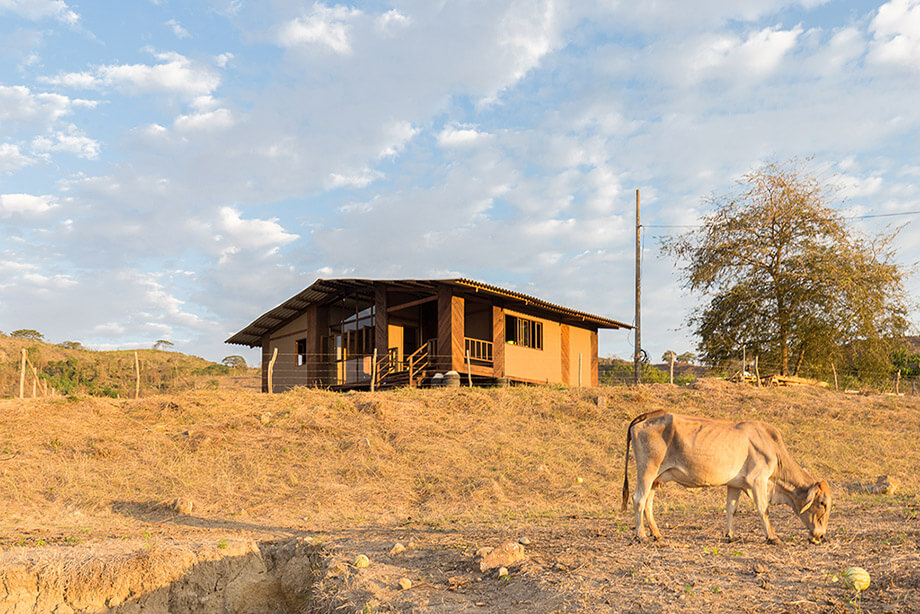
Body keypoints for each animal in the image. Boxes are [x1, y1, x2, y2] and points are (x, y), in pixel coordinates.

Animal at [620, 412, 832, 548]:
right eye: (823, 503)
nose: (820, 535)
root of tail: (647, 416)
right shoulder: (758, 481)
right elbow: (763, 509)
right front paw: (772, 537)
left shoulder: (735, 485)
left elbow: (732, 509)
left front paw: (730, 535)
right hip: (647, 470)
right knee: (638, 499)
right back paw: (642, 535)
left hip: (656, 478)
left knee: (648, 503)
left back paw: (657, 534)